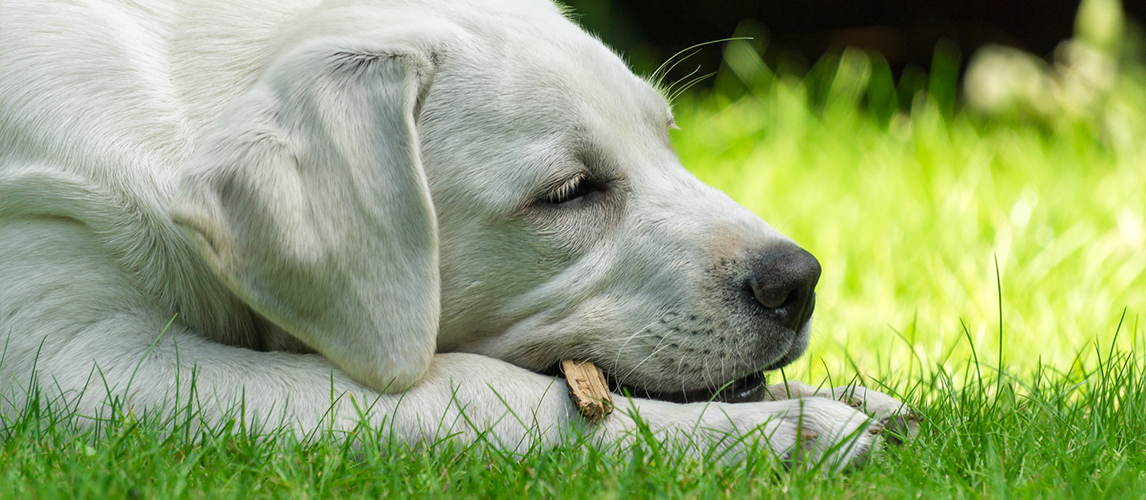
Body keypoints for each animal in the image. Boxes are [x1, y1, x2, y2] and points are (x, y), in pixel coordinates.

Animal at [0, 0, 912, 465]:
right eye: (568, 192)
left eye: (665, 138)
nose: (800, 282)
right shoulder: (79, 366)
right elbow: (471, 390)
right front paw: (781, 433)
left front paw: (843, 398)